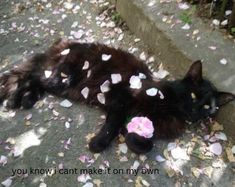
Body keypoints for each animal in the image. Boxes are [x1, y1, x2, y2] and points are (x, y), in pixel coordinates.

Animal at [0, 38, 234, 154]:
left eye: (208, 108)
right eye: (193, 95)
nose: (195, 112)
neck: (169, 107)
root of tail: (65, 45)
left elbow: (146, 144)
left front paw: (131, 138)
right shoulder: (121, 101)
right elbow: (112, 126)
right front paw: (98, 143)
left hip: (60, 85)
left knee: (35, 80)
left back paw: (27, 99)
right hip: (63, 79)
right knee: (32, 76)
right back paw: (15, 99)